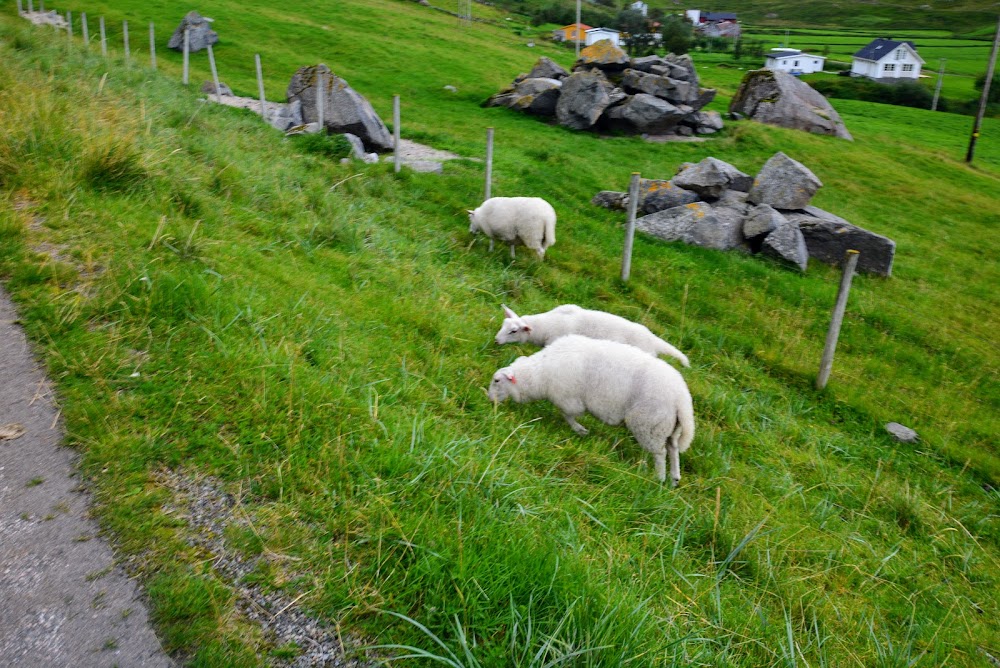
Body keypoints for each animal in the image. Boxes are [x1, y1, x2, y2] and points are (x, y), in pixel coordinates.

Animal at [486, 334, 696, 486]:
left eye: (496, 381)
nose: (489, 400)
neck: (539, 374)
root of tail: (682, 398)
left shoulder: (569, 399)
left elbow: (568, 415)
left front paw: (579, 430)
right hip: (668, 427)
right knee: (673, 448)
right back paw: (674, 478)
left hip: (649, 423)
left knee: (660, 453)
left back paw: (658, 477)